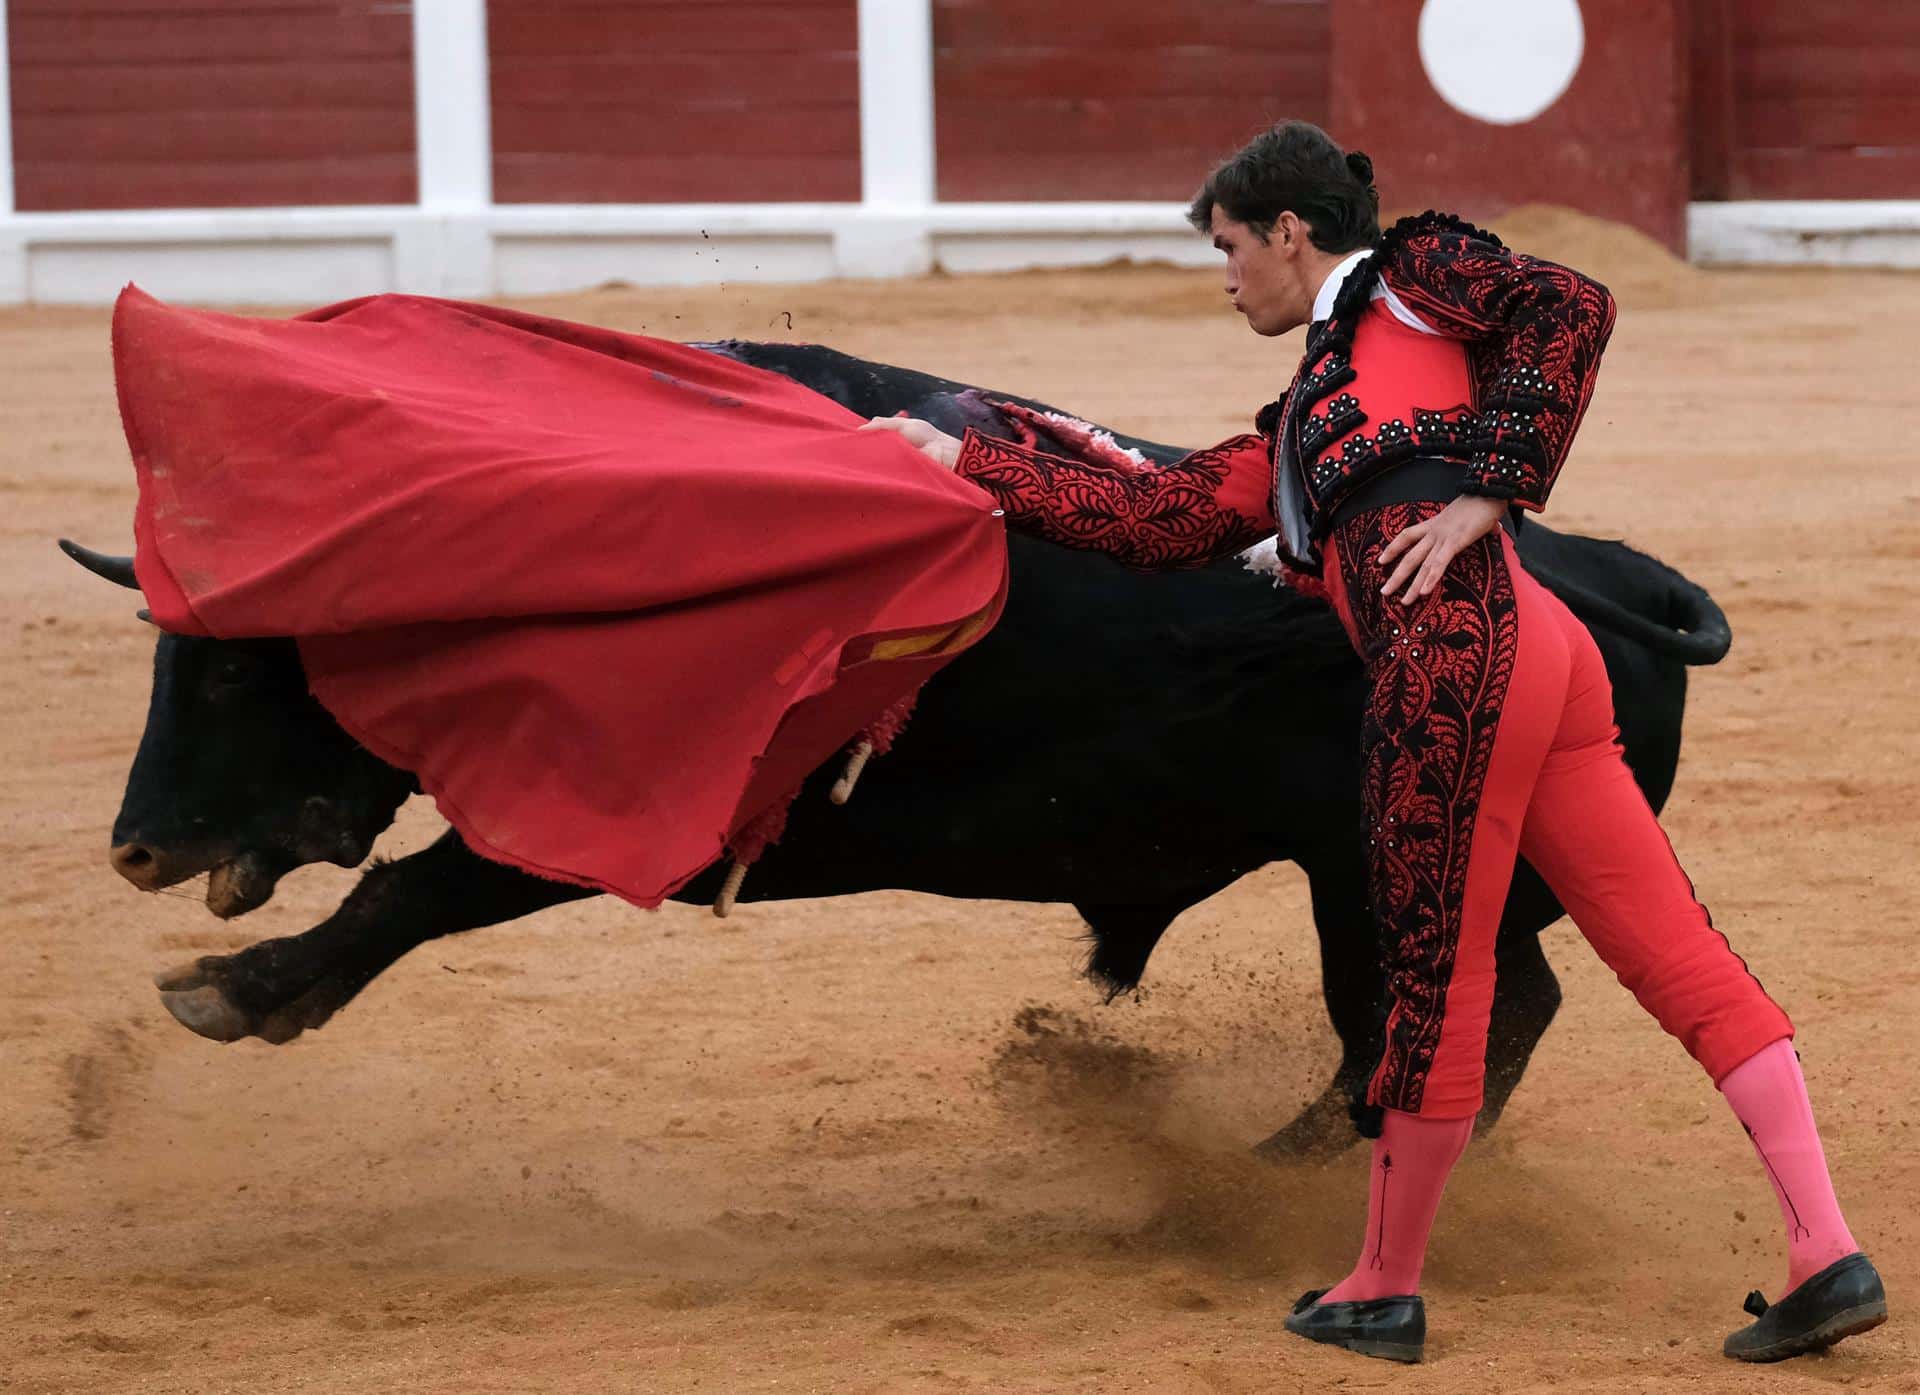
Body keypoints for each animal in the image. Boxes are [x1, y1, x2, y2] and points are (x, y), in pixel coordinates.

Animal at [67, 347, 1735, 1158]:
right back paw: (1308, 1151)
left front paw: (237, 991)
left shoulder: (639, 804)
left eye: (238, 660)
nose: (134, 846)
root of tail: (1615, 574)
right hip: (1364, 879)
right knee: (1469, 1006)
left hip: (1400, 869)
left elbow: (417, 887)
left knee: (1477, 1004)